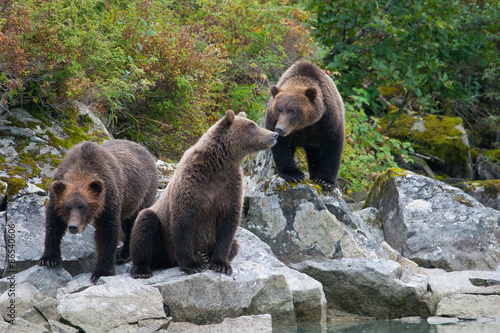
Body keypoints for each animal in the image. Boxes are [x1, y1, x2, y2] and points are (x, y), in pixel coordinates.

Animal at [37, 139, 157, 282]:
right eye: (67, 207)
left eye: (83, 207)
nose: (73, 226)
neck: (81, 171)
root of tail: (144, 149)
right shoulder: (56, 195)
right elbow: (53, 224)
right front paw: (48, 259)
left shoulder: (109, 199)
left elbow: (107, 232)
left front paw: (102, 271)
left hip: (141, 196)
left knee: (134, 222)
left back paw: (123, 254)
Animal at [129, 109, 278, 278]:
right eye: (251, 125)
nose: (274, 134)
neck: (219, 165)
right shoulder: (192, 184)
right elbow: (184, 223)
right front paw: (193, 265)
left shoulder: (230, 188)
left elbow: (228, 225)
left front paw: (221, 264)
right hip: (161, 234)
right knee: (145, 226)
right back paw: (142, 270)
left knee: (235, 244)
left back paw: (205, 255)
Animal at [266, 60, 344, 188]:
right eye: (279, 109)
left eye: (292, 110)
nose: (279, 129)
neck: (305, 125)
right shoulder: (274, 120)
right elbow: (281, 147)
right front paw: (293, 174)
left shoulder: (328, 120)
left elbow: (332, 146)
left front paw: (325, 181)